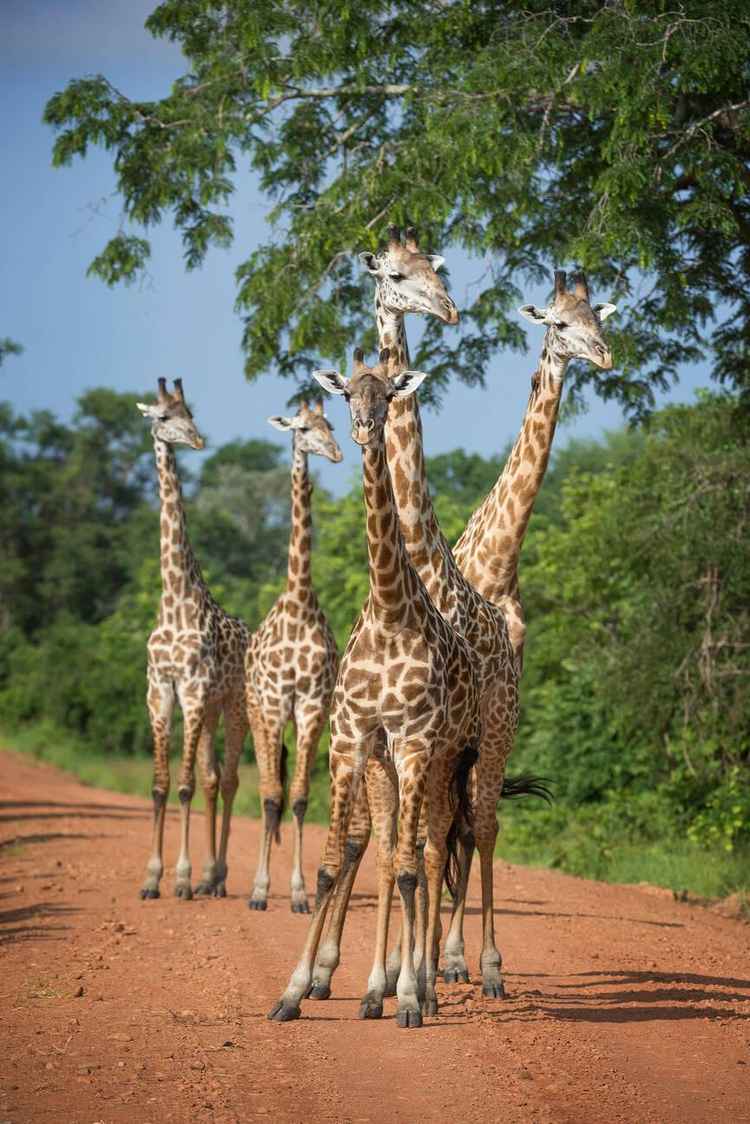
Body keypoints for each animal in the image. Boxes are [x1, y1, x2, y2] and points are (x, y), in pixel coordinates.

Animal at [268, 348, 481, 1029]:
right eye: (345, 395)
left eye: (389, 395)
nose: (364, 427)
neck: (389, 610)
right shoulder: (351, 736)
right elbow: (333, 864)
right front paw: (293, 990)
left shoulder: (414, 741)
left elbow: (413, 871)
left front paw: (409, 997)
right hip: (389, 763)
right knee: (393, 850)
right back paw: (372, 988)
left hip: (445, 759)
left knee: (431, 852)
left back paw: (426, 987)